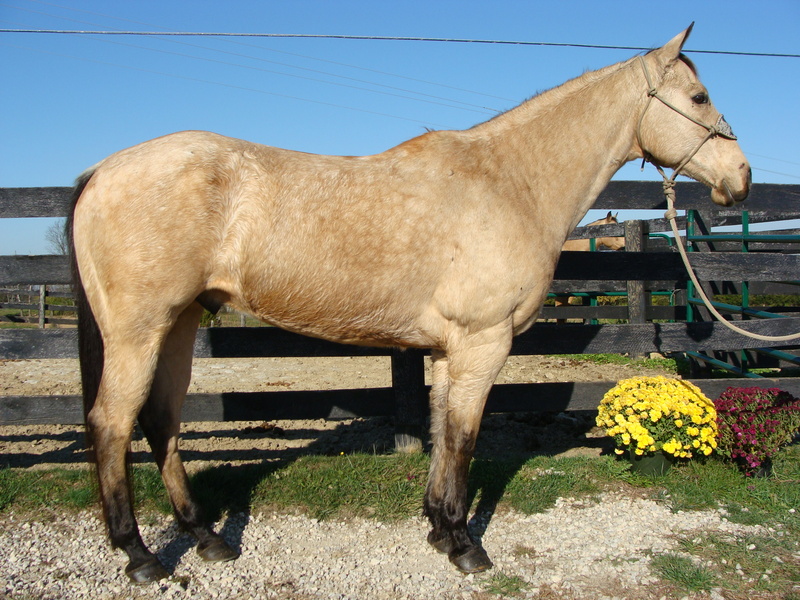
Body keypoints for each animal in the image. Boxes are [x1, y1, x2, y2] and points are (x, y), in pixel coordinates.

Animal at [67, 25, 750, 583]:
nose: (740, 178)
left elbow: (443, 431)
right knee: (112, 423)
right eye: (698, 98)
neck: (509, 182)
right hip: (139, 331)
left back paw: (205, 536)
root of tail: (103, 170)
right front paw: (467, 547)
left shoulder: (451, 349)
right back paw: (141, 557)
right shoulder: (483, 341)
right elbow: (465, 438)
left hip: (180, 324)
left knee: (161, 421)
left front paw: (440, 529)